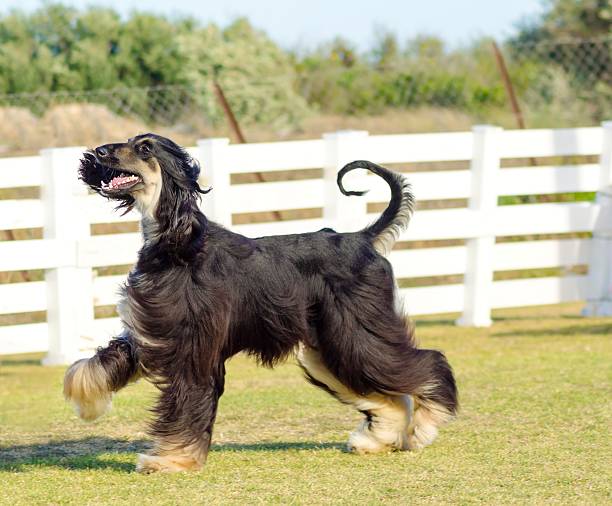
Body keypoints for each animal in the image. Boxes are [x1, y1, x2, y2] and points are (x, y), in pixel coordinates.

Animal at [64, 132, 456, 472]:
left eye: (144, 148)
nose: (98, 152)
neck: (178, 241)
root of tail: (362, 239)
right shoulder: (153, 331)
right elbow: (101, 362)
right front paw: (86, 400)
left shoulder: (193, 345)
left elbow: (189, 399)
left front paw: (173, 460)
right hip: (326, 347)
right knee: (384, 392)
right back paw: (378, 439)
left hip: (356, 330)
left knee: (427, 362)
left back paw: (425, 426)